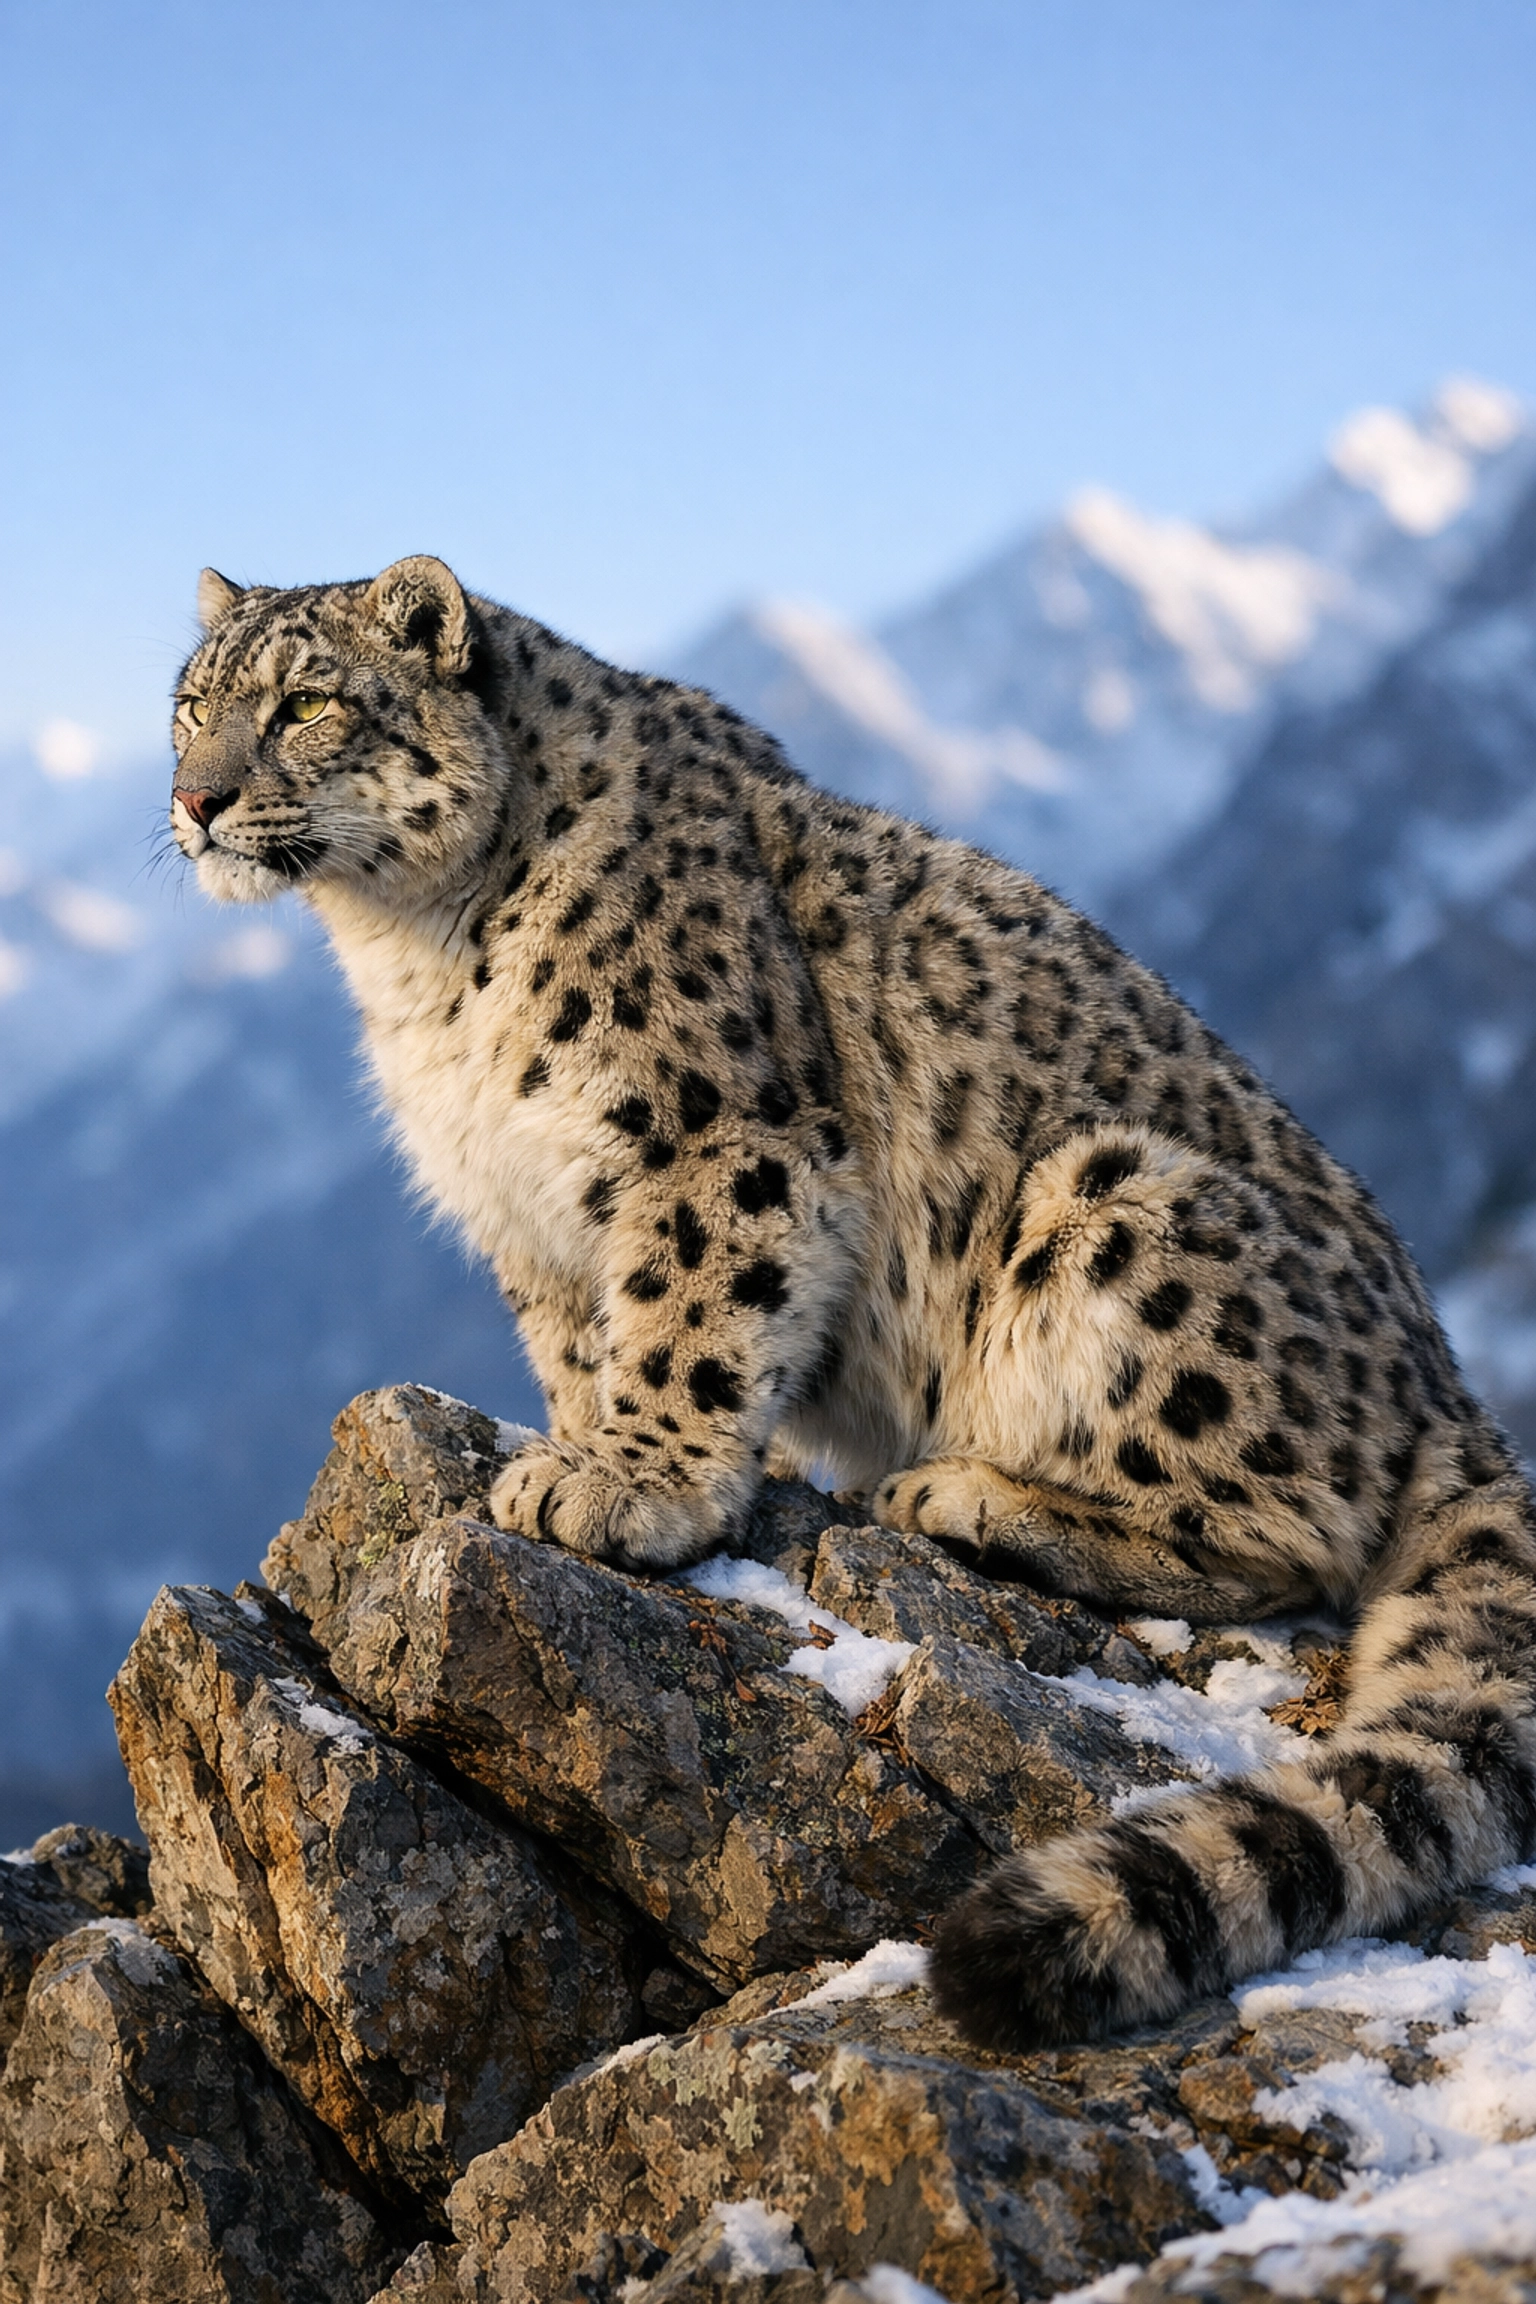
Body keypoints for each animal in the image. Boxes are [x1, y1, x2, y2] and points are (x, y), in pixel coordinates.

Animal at [170, 553, 1536, 2054]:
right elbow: (586, 1347)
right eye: (189, 707)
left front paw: (633, 1486)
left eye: (305, 703)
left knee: (1291, 1535)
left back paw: (972, 1495)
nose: (196, 801)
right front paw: (576, 1447)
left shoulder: (718, 1140)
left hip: (1118, 1209)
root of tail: (1448, 1385)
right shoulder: (528, 1221)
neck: (414, 955)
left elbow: (690, 1317)